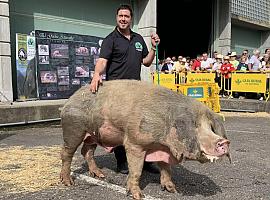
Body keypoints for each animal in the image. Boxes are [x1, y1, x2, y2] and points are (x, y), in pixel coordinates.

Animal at [60, 79, 231, 199]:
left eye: (211, 127)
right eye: (196, 126)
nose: (223, 142)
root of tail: (69, 99)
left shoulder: (163, 148)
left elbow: (166, 168)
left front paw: (172, 190)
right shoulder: (134, 143)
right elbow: (136, 171)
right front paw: (138, 196)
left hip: (93, 135)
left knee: (87, 151)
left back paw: (100, 175)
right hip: (73, 129)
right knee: (67, 153)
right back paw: (68, 182)